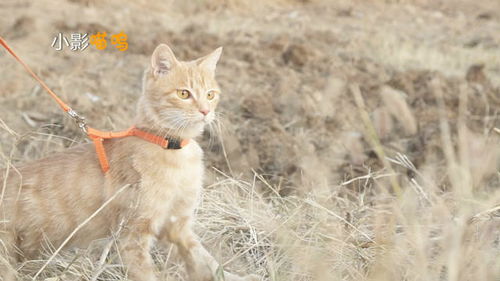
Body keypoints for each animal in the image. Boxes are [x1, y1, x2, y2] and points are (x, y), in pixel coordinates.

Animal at [0, 43, 258, 280]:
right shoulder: (133, 234)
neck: (170, 148)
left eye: (210, 94)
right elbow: (146, 274)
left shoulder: (178, 225)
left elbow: (206, 261)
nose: (205, 111)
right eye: (183, 94)